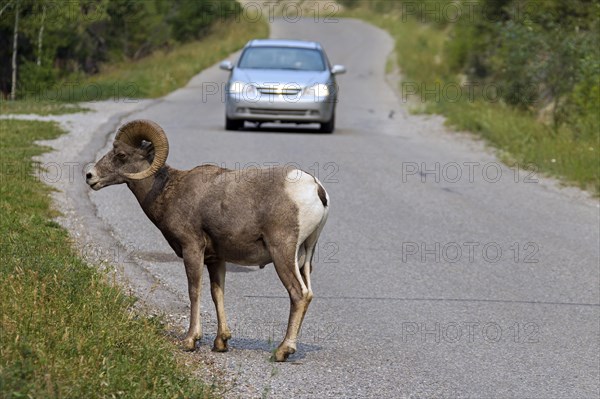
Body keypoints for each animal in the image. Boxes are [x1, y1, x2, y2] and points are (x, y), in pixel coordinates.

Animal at [85, 119, 328, 362]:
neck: (168, 192)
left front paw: (191, 340)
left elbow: (194, 291)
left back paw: (282, 351)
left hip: (282, 252)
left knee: (298, 294)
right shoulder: (215, 259)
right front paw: (221, 342)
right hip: (306, 256)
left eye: (121, 154)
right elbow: (216, 293)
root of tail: (315, 189)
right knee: (308, 293)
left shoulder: (192, 248)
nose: (89, 176)